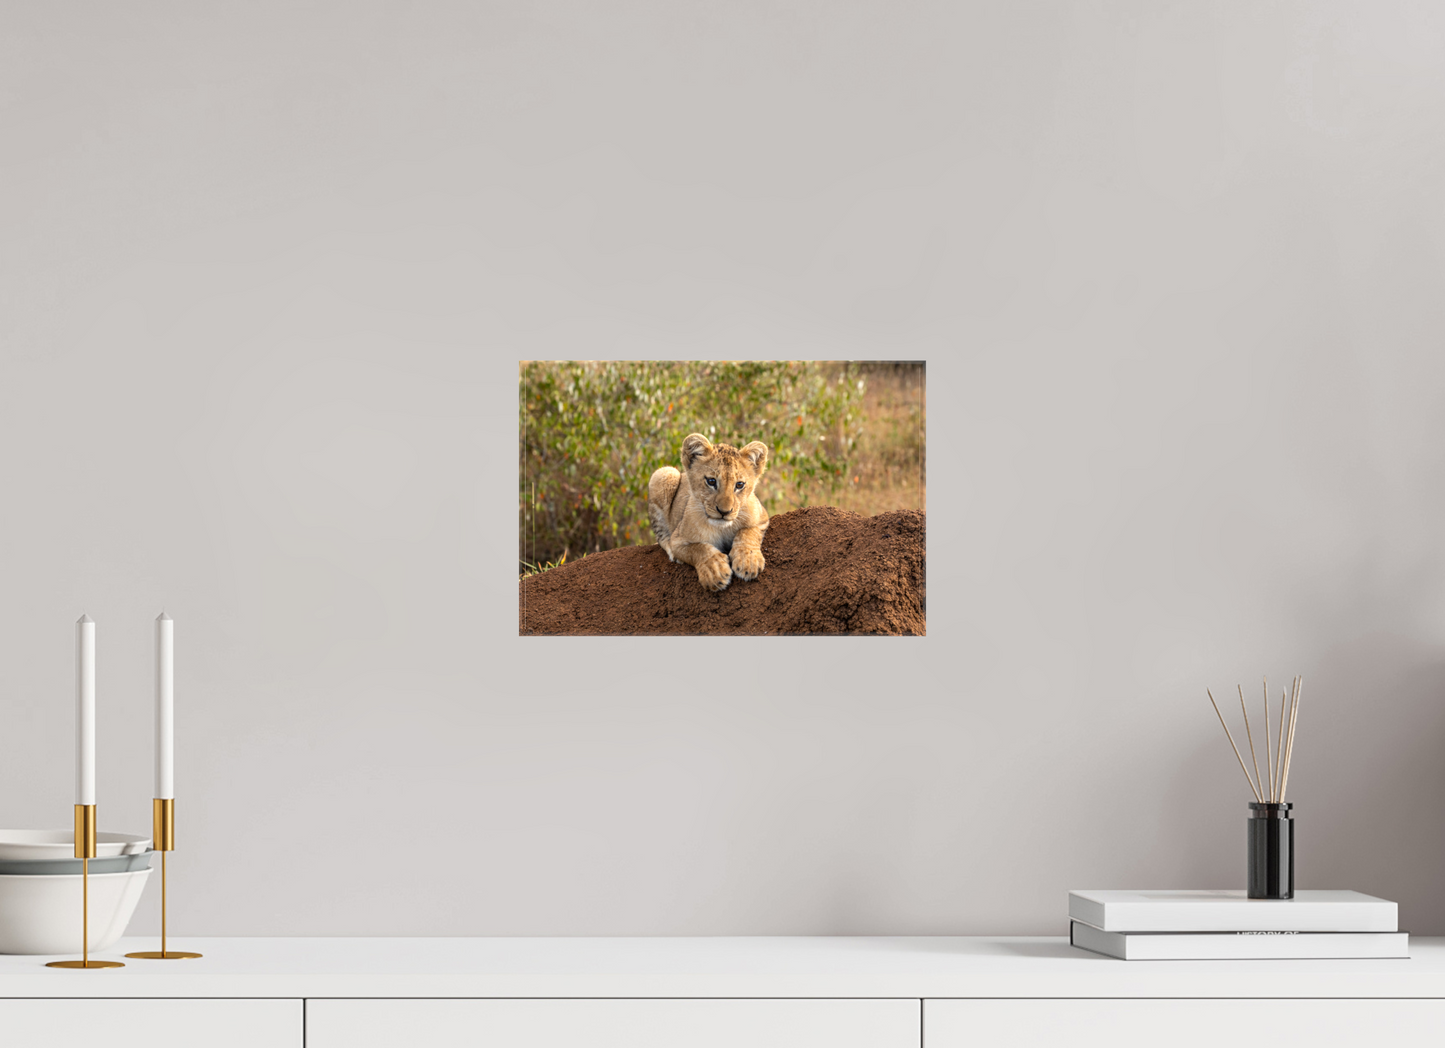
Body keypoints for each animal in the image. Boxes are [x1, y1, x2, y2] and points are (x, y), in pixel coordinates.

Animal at [647, 433, 770, 591]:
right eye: (711, 481)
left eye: (739, 485)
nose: (724, 511)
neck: (722, 528)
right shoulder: (678, 540)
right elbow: (698, 548)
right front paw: (715, 570)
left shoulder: (762, 517)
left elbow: (748, 532)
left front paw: (748, 561)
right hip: (664, 474)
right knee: (661, 534)